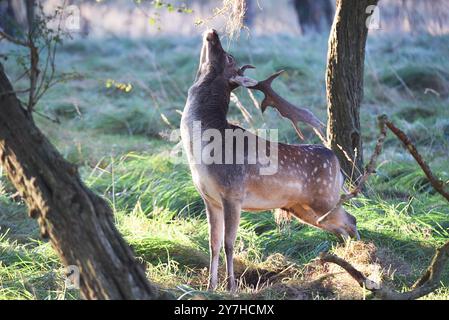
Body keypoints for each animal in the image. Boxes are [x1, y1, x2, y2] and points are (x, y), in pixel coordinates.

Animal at [178, 30, 356, 292]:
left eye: (229, 57)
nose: (213, 33)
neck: (200, 150)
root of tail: (338, 164)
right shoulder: (210, 198)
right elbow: (213, 243)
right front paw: (210, 287)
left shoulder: (233, 192)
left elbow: (229, 243)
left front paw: (231, 287)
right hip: (304, 208)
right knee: (343, 226)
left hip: (324, 198)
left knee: (351, 220)